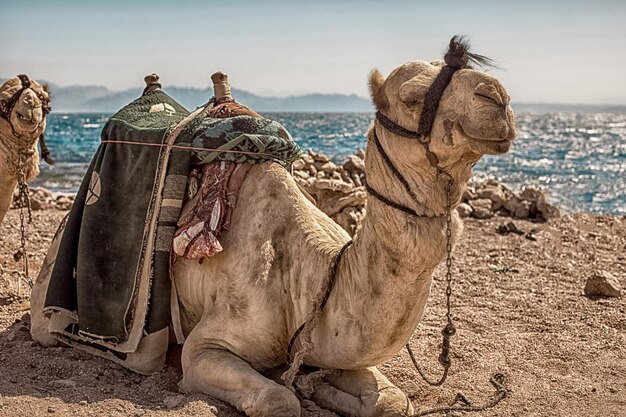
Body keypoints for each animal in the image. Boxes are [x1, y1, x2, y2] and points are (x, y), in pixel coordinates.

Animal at [31, 37, 516, 414]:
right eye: (413, 97)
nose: (498, 98)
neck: (310, 279)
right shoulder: (204, 347)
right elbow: (280, 400)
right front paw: (304, 390)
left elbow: (394, 402)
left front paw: (320, 387)